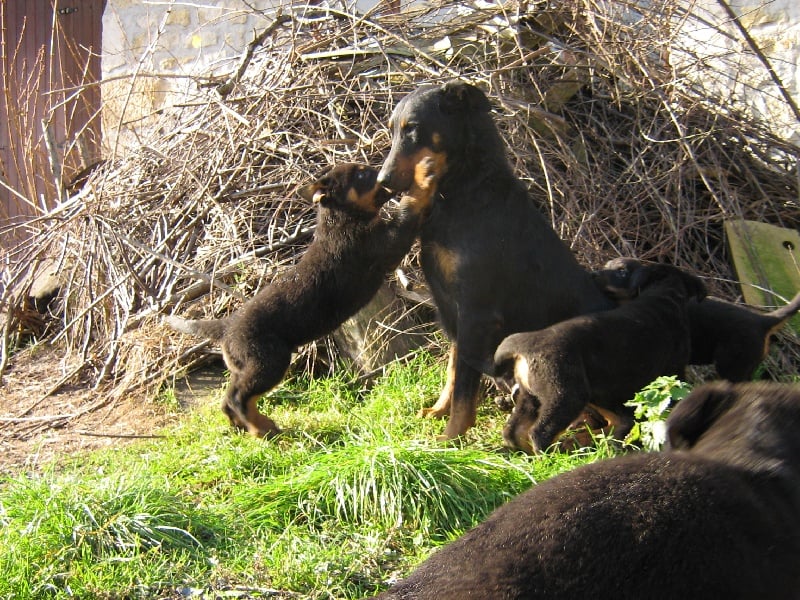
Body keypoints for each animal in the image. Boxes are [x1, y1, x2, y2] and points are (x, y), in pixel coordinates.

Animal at [166, 155, 440, 436]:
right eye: (362, 175)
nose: (386, 174)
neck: (343, 218)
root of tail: (226, 327)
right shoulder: (389, 243)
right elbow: (409, 206)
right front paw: (423, 175)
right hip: (268, 362)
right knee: (240, 397)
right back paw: (261, 429)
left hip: (245, 366)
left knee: (229, 398)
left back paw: (244, 426)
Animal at [378, 79, 616, 438]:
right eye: (392, 130)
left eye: (413, 129)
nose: (382, 182)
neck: (465, 191)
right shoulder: (456, 311)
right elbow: (453, 370)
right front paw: (438, 411)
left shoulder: (476, 313)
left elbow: (465, 389)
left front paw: (450, 438)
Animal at [490, 260, 704, 452]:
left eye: (621, 271)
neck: (663, 294)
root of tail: (526, 344)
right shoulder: (674, 371)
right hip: (566, 394)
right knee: (540, 433)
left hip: (533, 394)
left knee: (514, 432)